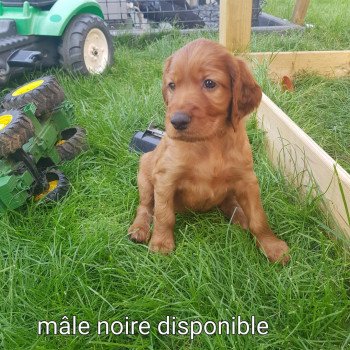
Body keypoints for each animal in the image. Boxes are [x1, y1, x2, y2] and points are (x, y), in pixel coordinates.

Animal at [129, 38, 290, 264]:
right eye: (172, 85)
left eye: (209, 83)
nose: (176, 121)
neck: (209, 142)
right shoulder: (165, 179)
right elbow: (163, 214)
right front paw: (161, 244)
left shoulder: (247, 179)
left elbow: (259, 218)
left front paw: (272, 246)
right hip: (144, 174)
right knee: (145, 206)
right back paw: (139, 229)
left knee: (230, 203)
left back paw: (240, 217)